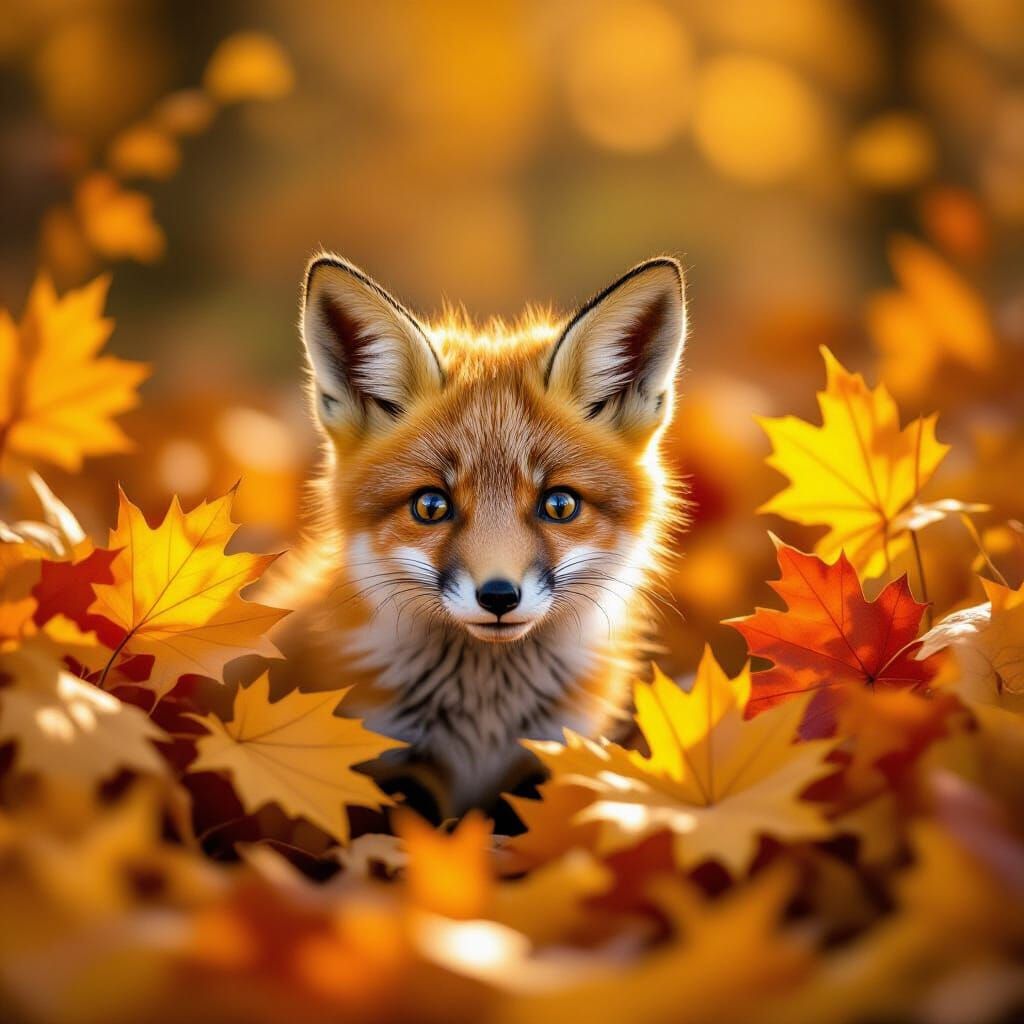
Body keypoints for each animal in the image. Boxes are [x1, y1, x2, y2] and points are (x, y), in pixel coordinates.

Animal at [269, 254, 688, 821]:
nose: (498, 596)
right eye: (430, 506)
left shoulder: (550, 758)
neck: (485, 719)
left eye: (559, 505)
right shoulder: (387, 763)